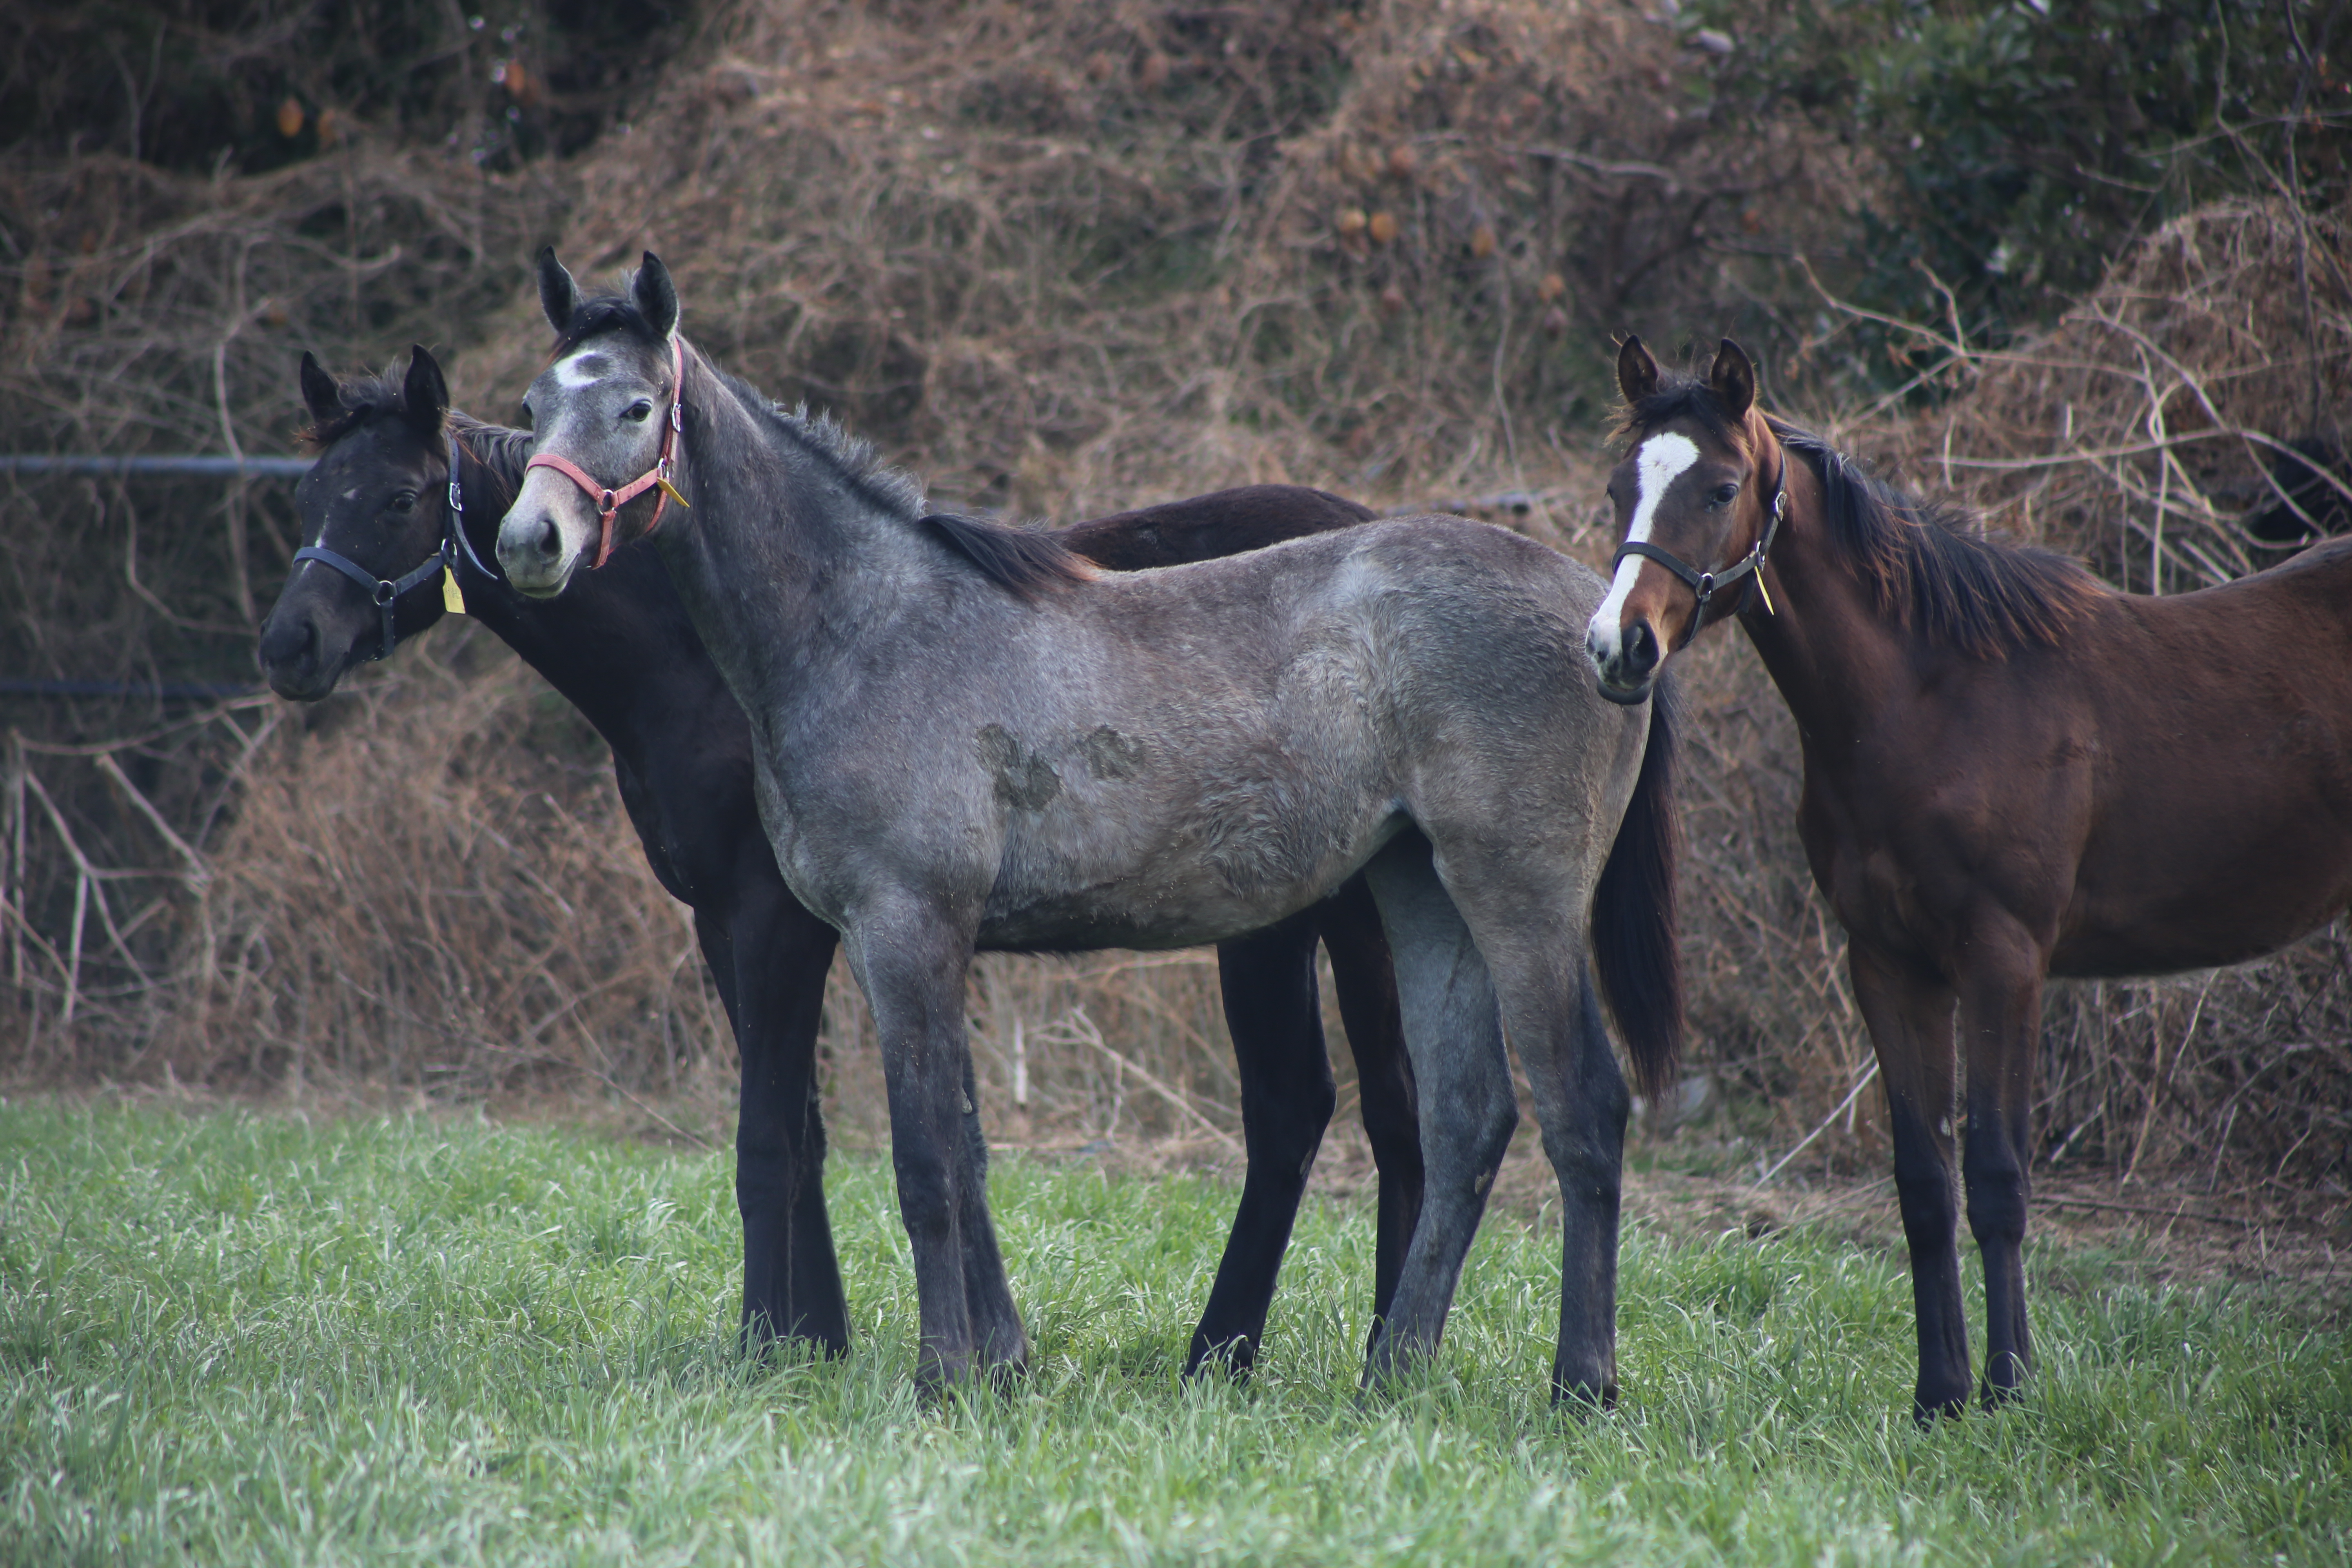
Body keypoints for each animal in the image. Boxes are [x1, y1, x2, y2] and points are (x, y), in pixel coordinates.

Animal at [496, 252, 1684, 1401]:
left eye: (637, 406)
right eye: (533, 402)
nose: (527, 541)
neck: (868, 630)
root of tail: (1601, 616)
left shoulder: (900, 929)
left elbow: (923, 1166)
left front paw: (941, 1378)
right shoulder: (909, 943)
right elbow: (964, 1153)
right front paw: (996, 1364)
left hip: (1518, 898)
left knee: (1581, 1109)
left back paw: (1580, 1384)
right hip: (1422, 891)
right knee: (1467, 1120)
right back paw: (1390, 1375)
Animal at [1580, 339, 2352, 1429]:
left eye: (1720, 487)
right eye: (1621, 487)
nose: (1620, 647)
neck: (1932, 699)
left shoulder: (2003, 960)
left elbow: (1994, 1175)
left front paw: (2009, 1387)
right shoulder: (1888, 963)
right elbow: (1922, 1180)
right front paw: (1939, 1393)